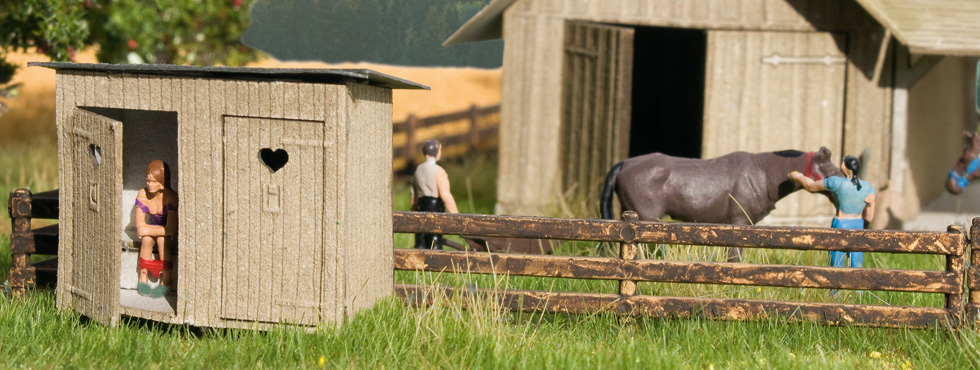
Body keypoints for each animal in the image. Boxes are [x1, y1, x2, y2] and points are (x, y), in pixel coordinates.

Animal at [600, 146, 840, 262]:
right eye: (832, 169)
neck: (764, 174)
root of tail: (624, 164)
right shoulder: (739, 221)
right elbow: (734, 256)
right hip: (648, 217)